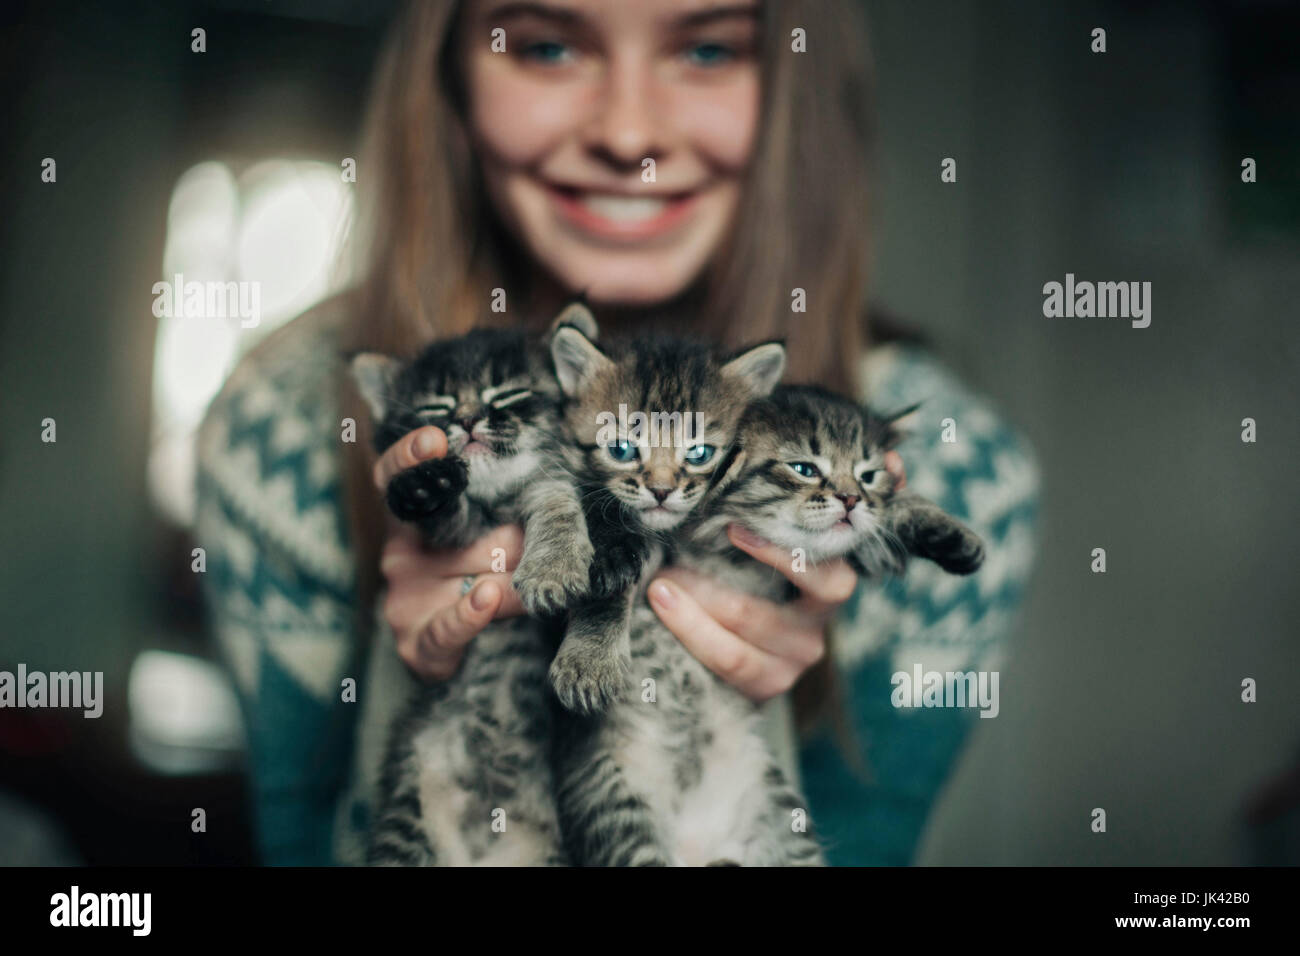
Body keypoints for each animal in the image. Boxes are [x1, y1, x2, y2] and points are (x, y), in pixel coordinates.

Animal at [356, 306, 598, 868]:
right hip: (407, 815)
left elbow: (556, 497)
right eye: (436, 406)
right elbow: (444, 517)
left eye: (506, 394)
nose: (466, 418)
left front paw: (554, 565)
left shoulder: (554, 480)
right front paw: (423, 487)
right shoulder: (455, 534)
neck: (497, 502)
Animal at [551, 382, 982, 868]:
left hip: (783, 825)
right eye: (804, 469)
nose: (851, 499)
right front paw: (591, 660)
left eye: (869, 476)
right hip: (623, 816)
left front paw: (951, 533)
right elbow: (612, 584)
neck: (734, 555)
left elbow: (888, 518)